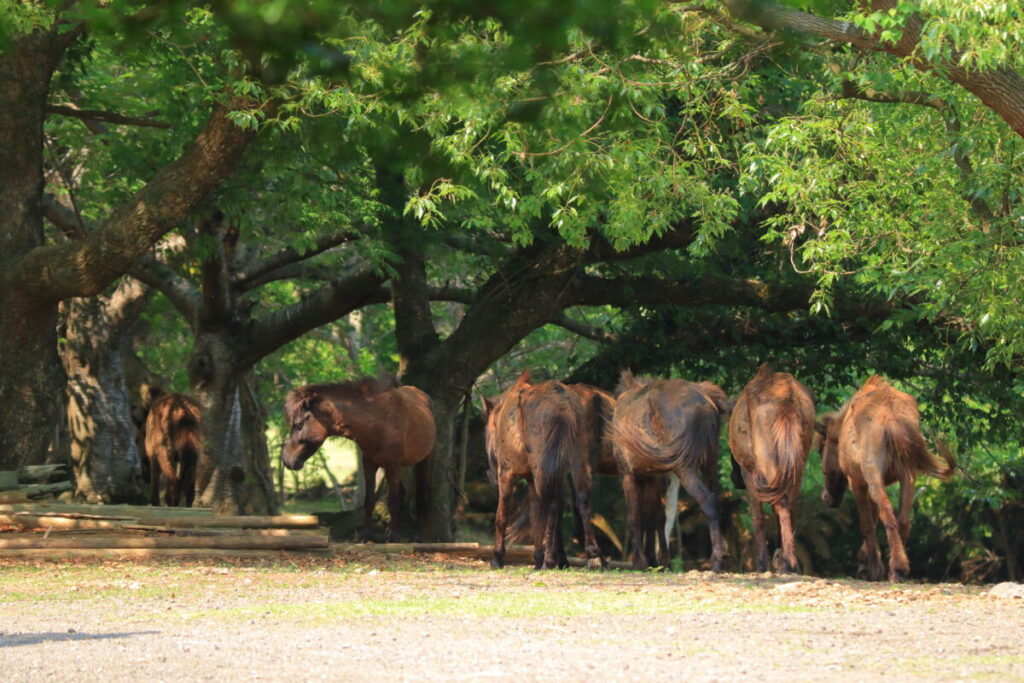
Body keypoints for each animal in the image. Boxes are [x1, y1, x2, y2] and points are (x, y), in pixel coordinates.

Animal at [281, 376, 435, 541]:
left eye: (299, 425)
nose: (286, 460)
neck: (379, 422)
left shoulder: (392, 466)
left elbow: (393, 502)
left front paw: (393, 538)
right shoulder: (369, 464)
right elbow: (369, 500)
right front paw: (365, 536)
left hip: (425, 460)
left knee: (422, 495)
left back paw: (419, 535)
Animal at [482, 371, 602, 570]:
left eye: (488, 431)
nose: (489, 475)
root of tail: (562, 403)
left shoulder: (507, 472)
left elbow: (502, 514)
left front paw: (498, 557)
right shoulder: (532, 478)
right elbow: (536, 514)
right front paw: (538, 557)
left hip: (543, 465)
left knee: (552, 503)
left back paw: (550, 559)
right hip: (576, 457)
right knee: (579, 498)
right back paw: (591, 555)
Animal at [610, 370, 731, 571]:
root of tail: (704, 404)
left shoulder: (628, 473)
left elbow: (635, 516)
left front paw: (639, 562)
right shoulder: (652, 475)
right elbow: (654, 515)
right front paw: (656, 560)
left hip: (685, 467)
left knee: (707, 500)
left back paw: (717, 560)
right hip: (710, 463)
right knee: (715, 499)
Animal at [728, 364, 815, 573]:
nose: (734, 478)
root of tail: (787, 400)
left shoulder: (751, 474)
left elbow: (758, 519)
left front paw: (762, 563)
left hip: (765, 465)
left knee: (779, 505)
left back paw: (785, 561)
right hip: (796, 466)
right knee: (787, 505)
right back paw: (787, 559)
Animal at [816, 375, 955, 581]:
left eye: (821, 450)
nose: (826, 497)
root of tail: (891, 415)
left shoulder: (859, 483)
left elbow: (867, 523)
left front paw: (870, 566)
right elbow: (874, 517)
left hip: (873, 475)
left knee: (887, 513)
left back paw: (894, 569)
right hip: (908, 477)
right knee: (903, 519)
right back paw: (900, 567)